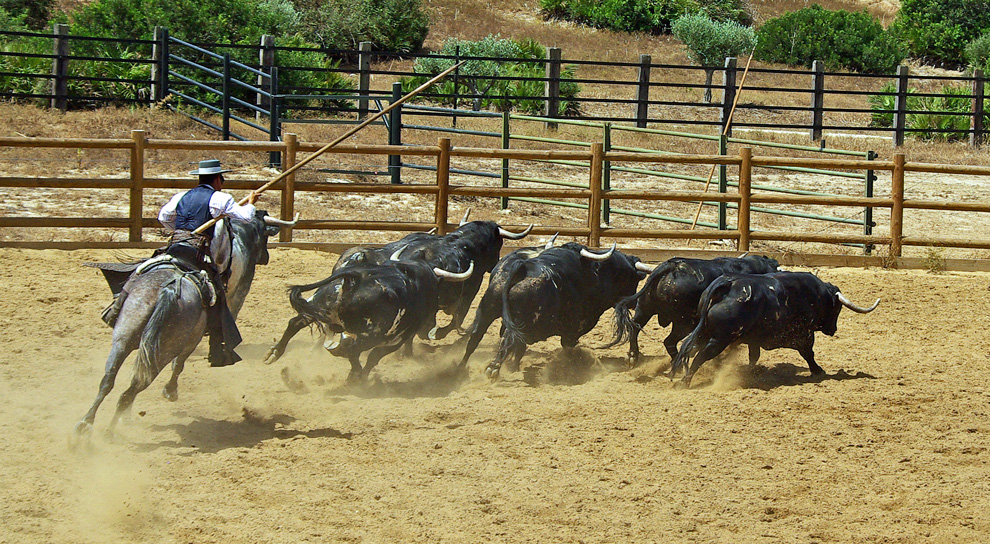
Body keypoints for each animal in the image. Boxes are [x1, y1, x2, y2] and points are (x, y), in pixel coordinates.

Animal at [72, 212, 294, 442]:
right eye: (264, 236)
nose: (266, 257)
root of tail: (170, 289)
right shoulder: (233, 299)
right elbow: (179, 364)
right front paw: (171, 390)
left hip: (124, 339)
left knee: (110, 380)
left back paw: (87, 426)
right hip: (163, 349)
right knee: (134, 386)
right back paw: (112, 430)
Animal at [460, 242, 652, 378]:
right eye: (633, 279)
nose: (634, 303)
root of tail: (522, 267)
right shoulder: (574, 330)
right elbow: (567, 346)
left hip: (486, 310)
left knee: (475, 339)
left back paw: (461, 368)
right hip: (520, 320)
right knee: (508, 340)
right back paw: (493, 368)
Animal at [608, 255, 780, 366]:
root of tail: (672, 266)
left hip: (645, 309)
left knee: (634, 328)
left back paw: (633, 356)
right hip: (683, 323)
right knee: (669, 341)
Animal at [672, 270, 880, 386]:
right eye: (837, 308)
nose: (833, 329)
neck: (814, 295)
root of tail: (728, 283)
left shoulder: (754, 340)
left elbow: (754, 357)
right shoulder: (804, 335)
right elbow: (808, 353)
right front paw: (817, 370)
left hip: (705, 333)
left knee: (690, 350)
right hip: (719, 340)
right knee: (700, 357)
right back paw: (685, 381)